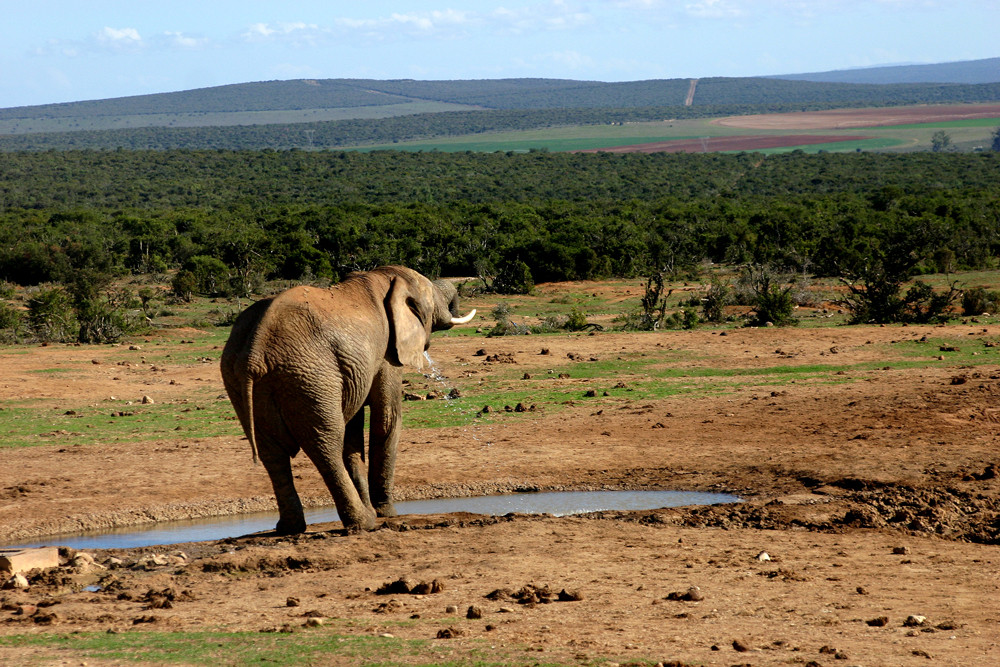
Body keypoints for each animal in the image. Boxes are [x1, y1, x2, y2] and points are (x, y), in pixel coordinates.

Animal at [222, 264, 476, 532]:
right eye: (431, 297)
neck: (383, 276)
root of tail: (254, 353)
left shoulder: (352, 366)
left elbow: (354, 428)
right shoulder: (387, 350)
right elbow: (387, 418)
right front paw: (387, 512)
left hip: (242, 380)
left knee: (272, 452)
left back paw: (291, 528)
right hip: (310, 376)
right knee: (326, 443)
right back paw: (363, 522)